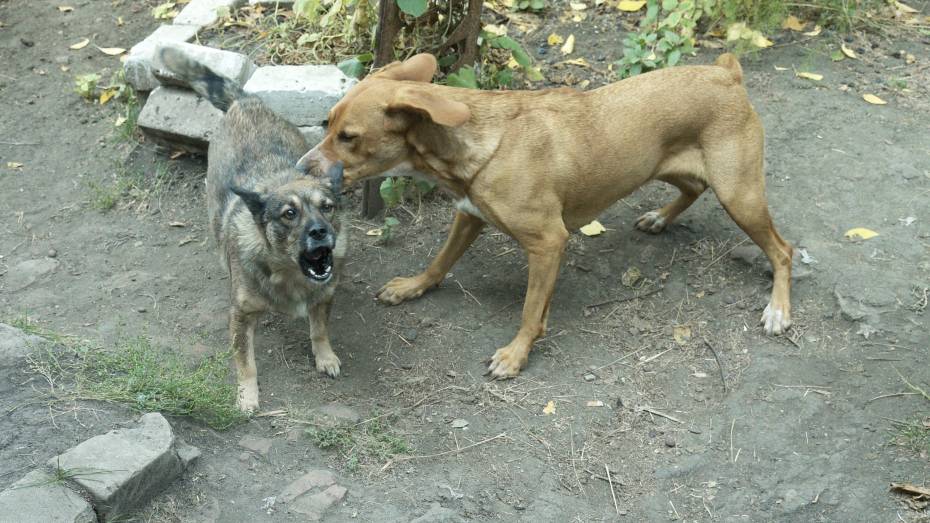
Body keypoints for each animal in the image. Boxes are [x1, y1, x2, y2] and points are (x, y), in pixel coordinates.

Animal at [158, 46, 346, 414]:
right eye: (289, 214)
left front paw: (325, 357)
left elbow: (319, 330)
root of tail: (245, 102)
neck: (289, 276)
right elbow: (246, 362)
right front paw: (247, 395)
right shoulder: (240, 316)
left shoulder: (324, 297)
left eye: (327, 207)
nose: (320, 232)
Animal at [298, 53, 792, 378]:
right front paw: (412, 287)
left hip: (740, 194)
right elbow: (439, 262)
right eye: (326, 123)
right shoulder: (469, 215)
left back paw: (779, 309)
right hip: (670, 167)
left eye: (349, 136)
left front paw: (516, 354)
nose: (301, 167)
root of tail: (726, 72)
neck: (480, 143)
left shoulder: (548, 242)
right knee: (693, 187)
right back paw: (659, 218)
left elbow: (531, 311)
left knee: (783, 251)